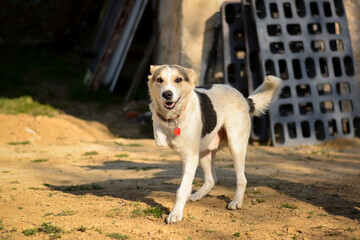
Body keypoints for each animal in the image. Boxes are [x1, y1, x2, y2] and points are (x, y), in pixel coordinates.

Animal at [147, 63, 282, 223]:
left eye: (178, 79)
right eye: (159, 80)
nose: (167, 94)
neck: (174, 118)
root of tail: (244, 98)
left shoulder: (190, 157)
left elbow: (182, 189)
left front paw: (175, 214)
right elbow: (158, 132)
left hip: (236, 146)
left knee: (242, 179)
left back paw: (236, 202)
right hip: (204, 153)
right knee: (212, 180)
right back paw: (195, 196)